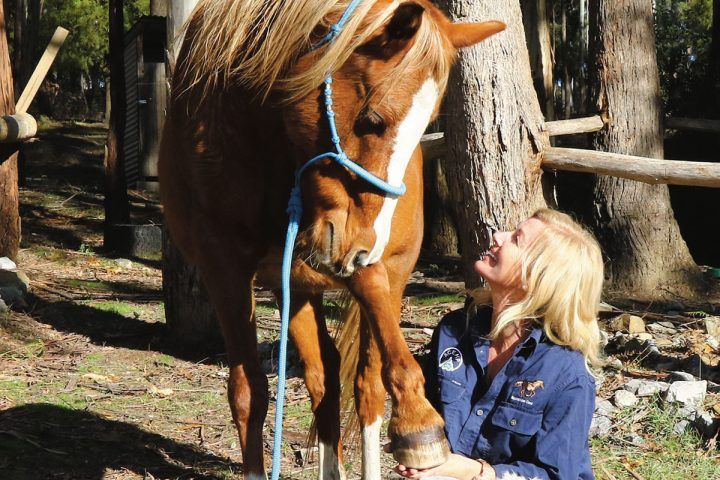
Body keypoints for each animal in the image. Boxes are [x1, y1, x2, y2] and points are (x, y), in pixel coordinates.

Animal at [159, 1, 504, 478]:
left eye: (423, 130)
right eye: (373, 120)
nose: (363, 248)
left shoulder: (363, 255)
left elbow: (380, 370)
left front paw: (419, 422)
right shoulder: (223, 267)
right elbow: (249, 392)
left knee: (365, 385)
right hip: (298, 280)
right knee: (324, 376)